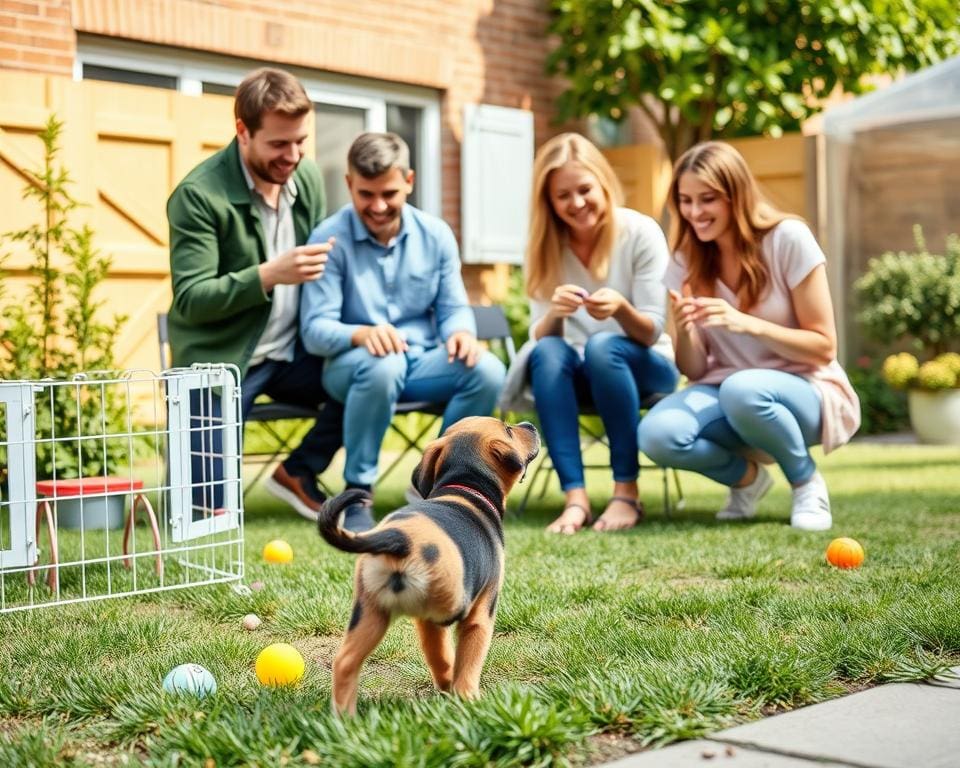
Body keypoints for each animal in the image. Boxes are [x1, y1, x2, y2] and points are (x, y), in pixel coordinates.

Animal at [316, 416, 536, 716]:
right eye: (509, 430)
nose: (531, 425)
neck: (463, 487)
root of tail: (400, 538)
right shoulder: (483, 612)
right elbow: (466, 665)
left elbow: (439, 656)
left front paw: (444, 684)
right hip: (450, 605)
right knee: (458, 660)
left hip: (369, 611)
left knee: (346, 662)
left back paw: (345, 719)